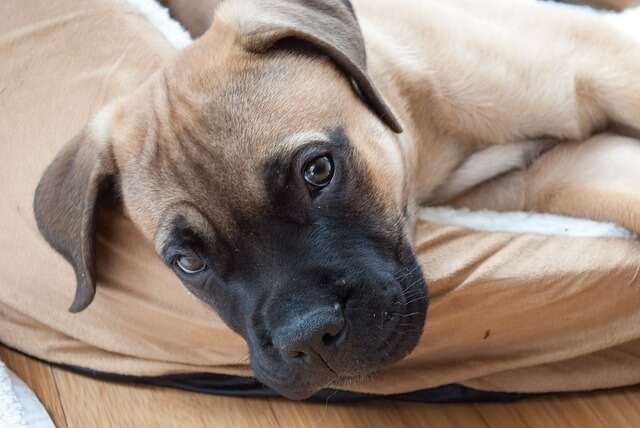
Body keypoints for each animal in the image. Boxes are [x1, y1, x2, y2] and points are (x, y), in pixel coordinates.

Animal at [33, 0, 640, 400]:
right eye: (187, 261)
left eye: (318, 170)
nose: (310, 339)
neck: (426, 132)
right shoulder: (558, 172)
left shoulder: (606, 63)